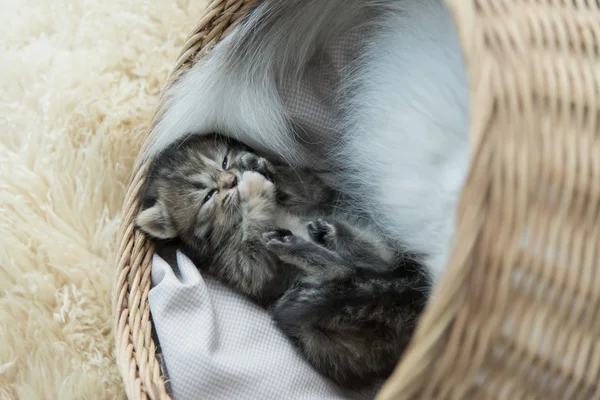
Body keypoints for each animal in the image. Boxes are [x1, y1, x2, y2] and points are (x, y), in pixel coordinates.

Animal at [136, 135, 428, 390]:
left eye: (224, 161)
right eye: (208, 196)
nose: (232, 179)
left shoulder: (314, 194)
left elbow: (298, 185)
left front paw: (257, 164)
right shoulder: (243, 267)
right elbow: (254, 242)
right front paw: (255, 191)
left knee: (380, 257)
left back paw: (329, 236)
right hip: (327, 343)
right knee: (347, 271)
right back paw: (306, 249)